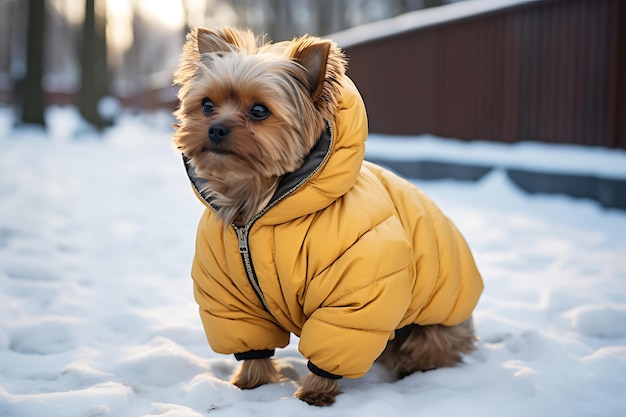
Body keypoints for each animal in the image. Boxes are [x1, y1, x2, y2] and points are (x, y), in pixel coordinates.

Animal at [171, 27, 482, 404]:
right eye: (206, 105)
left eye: (259, 110)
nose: (215, 128)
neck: (258, 208)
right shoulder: (230, 295)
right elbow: (252, 343)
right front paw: (251, 382)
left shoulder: (353, 292)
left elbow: (337, 337)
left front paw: (316, 392)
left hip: (435, 324)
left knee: (431, 347)